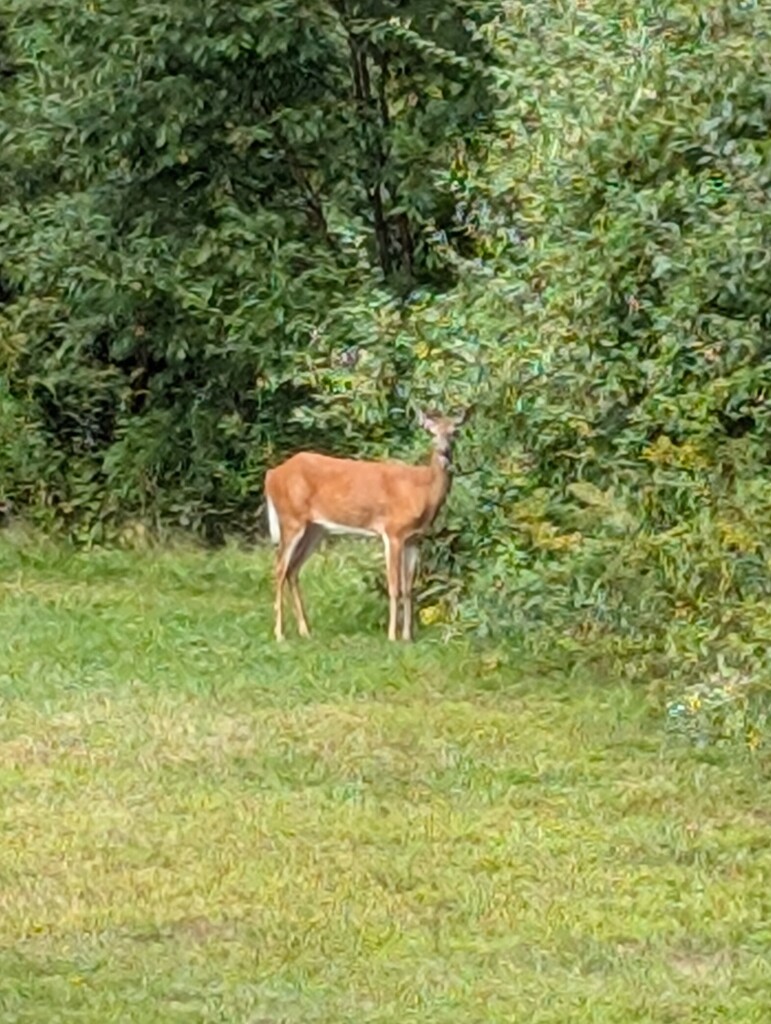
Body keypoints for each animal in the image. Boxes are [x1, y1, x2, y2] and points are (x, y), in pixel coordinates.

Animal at [264, 409, 468, 642]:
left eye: (454, 432)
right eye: (431, 433)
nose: (444, 451)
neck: (422, 491)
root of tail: (271, 475)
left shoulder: (414, 539)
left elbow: (408, 588)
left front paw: (408, 637)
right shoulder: (393, 532)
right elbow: (394, 586)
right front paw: (392, 637)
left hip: (315, 529)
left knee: (292, 570)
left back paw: (305, 631)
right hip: (291, 519)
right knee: (279, 568)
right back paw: (280, 634)